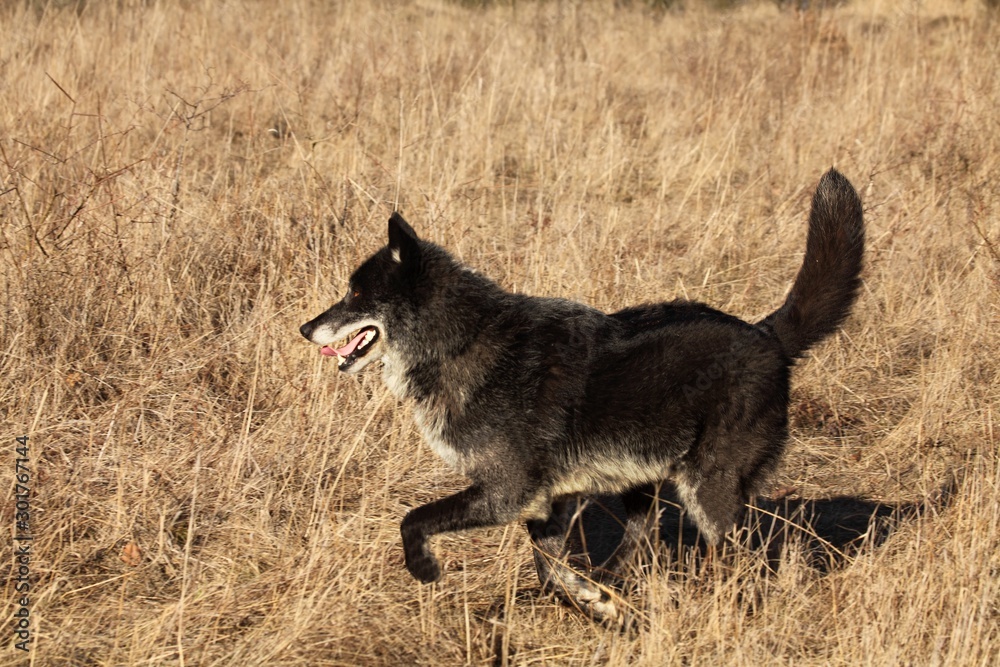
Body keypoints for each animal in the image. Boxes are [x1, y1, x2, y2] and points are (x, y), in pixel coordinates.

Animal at [300, 169, 865, 621]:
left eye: (354, 294)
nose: (305, 328)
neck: (461, 342)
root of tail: (768, 336)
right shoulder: (550, 503)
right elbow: (550, 572)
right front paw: (596, 605)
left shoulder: (507, 493)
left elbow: (412, 520)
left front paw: (422, 568)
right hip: (644, 479)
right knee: (643, 538)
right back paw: (616, 590)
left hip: (710, 493)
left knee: (738, 561)